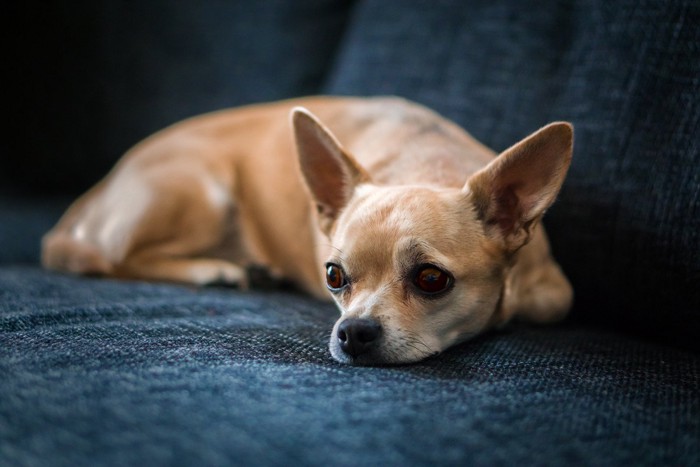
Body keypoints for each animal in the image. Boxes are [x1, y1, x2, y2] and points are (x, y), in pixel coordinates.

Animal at [41, 97, 572, 368]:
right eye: (333, 276)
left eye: (431, 279)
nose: (352, 331)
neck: (426, 165)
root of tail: (94, 192)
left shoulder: (555, 293)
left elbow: (546, 304)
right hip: (204, 193)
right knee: (114, 258)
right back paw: (218, 270)